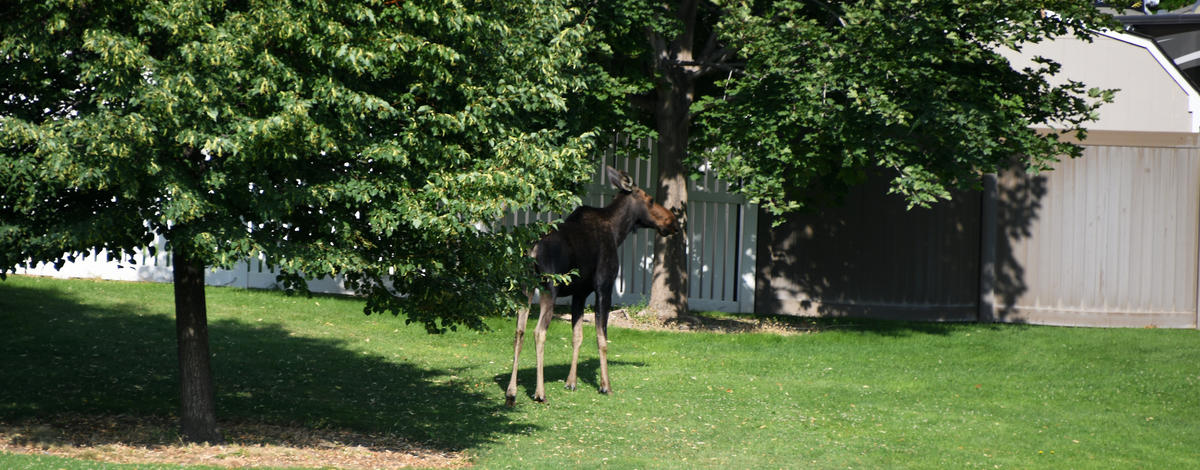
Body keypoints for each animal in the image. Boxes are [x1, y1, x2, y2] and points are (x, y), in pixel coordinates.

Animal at [504, 165, 681, 402]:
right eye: (651, 200)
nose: (673, 222)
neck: (618, 232)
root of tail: (531, 250)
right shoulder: (604, 286)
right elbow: (602, 339)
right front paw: (605, 385)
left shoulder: (579, 293)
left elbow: (577, 336)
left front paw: (571, 382)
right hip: (549, 287)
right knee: (538, 332)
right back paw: (540, 392)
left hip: (524, 288)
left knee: (519, 331)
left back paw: (511, 391)